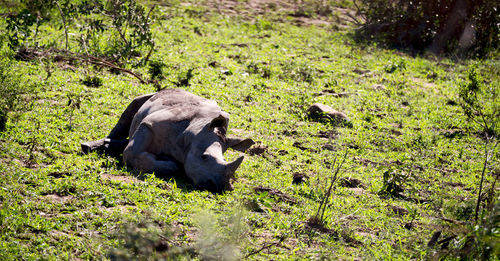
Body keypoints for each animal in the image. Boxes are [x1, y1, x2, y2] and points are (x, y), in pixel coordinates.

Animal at [83, 88, 254, 192]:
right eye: (204, 157)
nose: (218, 187)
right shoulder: (150, 124)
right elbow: (130, 153)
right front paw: (173, 165)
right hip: (152, 96)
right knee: (133, 105)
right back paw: (89, 147)